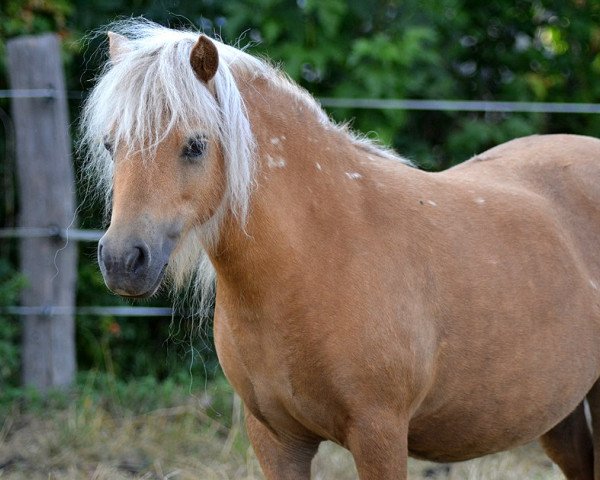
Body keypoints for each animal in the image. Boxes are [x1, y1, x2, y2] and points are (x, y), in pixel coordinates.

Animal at [82, 19, 600, 480]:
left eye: (195, 145)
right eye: (110, 145)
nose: (123, 261)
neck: (315, 259)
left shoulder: (379, 434)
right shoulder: (275, 440)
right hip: (561, 410)